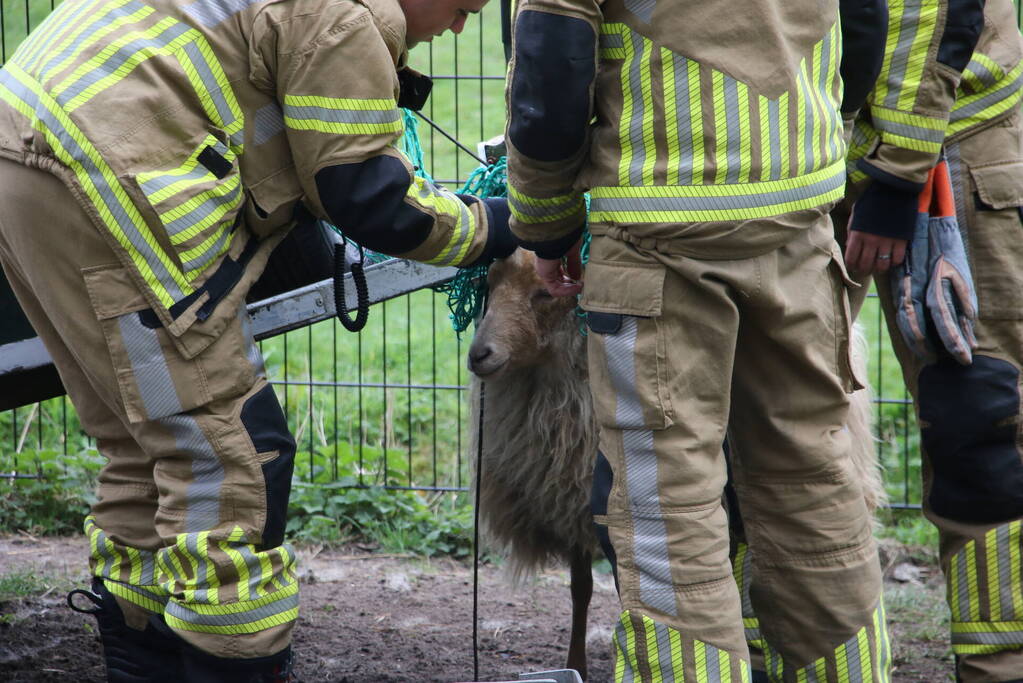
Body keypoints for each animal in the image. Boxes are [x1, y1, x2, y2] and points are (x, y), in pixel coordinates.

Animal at [468, 248, 883, 678]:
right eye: (490, 284)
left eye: (543, 294)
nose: (478, 355)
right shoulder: (569, 507)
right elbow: (580, 589)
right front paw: (575, 663)